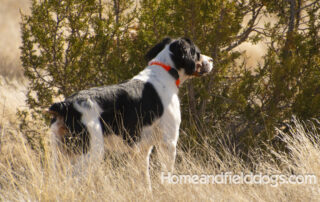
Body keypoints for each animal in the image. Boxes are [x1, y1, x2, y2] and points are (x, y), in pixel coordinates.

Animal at [48, 37, 214, 189]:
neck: (166, 72)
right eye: (197, 53)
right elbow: (167, 175)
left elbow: (145, 179)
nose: (211, 60)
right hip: (91, 151)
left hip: (60, 154)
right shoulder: (168, 142)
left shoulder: (142, 150)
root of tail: (65, 105)